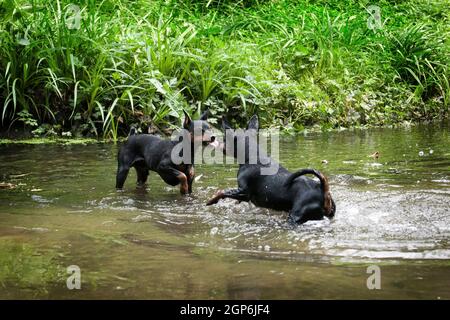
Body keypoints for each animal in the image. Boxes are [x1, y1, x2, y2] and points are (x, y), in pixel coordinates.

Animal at [206, 115, 336, 225]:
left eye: (224, 139)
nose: (218, 145)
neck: (252, 156)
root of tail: (322, 188)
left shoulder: (244, 192)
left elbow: (222, 192)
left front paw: (211, 201)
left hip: (296, 216)